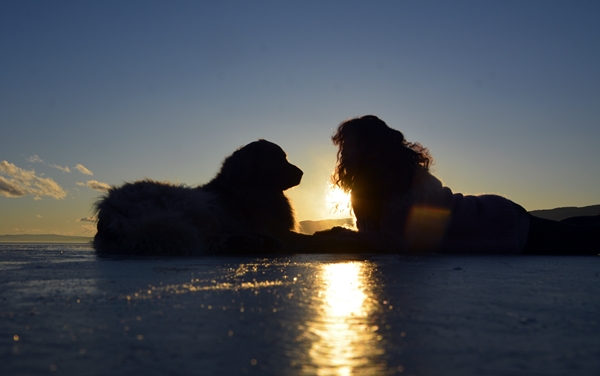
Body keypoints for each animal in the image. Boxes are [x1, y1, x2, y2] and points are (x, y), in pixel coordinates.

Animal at [93, 139, 368, 256]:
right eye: (280, 159)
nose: (301, 173)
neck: (251, 187)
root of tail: (111, 210)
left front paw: (341, 232)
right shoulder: (279, 230)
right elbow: (313, 239)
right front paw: (343, 240)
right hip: (191, 208)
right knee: (207, 241)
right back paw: (251, 242)